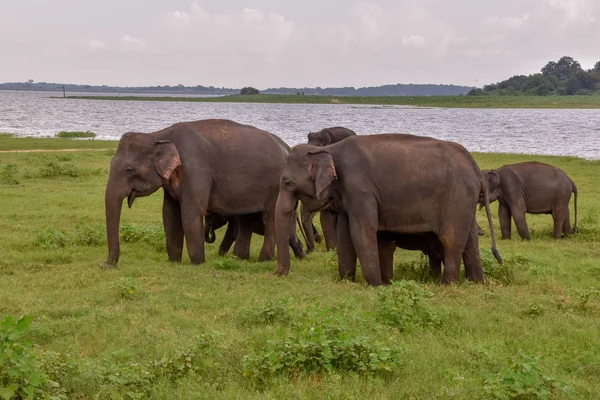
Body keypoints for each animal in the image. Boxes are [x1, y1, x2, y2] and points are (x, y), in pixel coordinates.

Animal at [106, 119, 298, 268]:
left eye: (129, 170)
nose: (107, 265)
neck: (159, 134)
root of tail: (287, 149)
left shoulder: (196, 168)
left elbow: (191, 212)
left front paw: (197, 263)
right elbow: (169, 214)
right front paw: (173, 261)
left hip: (276, 186)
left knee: (270, 218)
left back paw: (263, 260)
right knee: (246, 219)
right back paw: (239, 259)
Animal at [274, 133, 500, 286]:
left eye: (287, 183)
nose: (274, 275)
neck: (330, 149)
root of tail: (476, 169)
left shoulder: (360, 189)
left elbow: (362, 231)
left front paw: (376, 285)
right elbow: (345, 234)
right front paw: (347, 281)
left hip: (456, 197)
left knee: (451, 239)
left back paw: (448, 285)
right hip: (465, 201)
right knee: (470, 239)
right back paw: (476, 282)